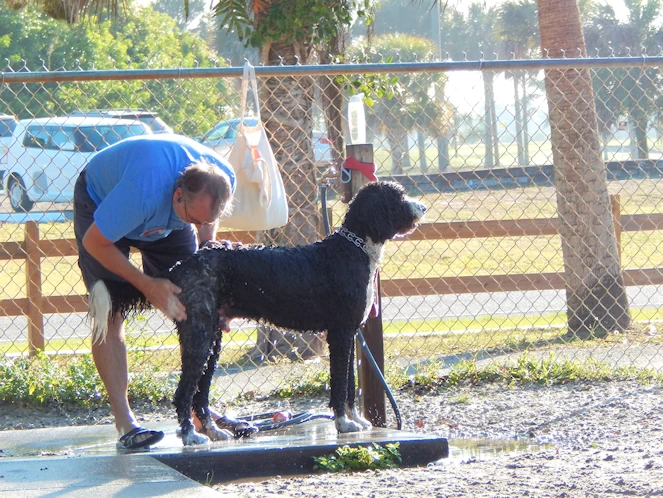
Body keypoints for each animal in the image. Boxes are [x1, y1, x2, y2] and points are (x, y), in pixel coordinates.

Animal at [89, 181, 426, 446]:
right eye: (398, 196)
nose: (422, 206)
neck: (351, 249)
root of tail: (183, 266)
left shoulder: (350, 333)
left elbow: (350, 383)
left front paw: (357, 421)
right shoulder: (341, 333)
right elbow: (340, 384)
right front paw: (343, 423)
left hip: (212, 340)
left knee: (200, 393)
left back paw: (214, 431)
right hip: (198, 336)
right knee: (184, 392)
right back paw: (190, 436)